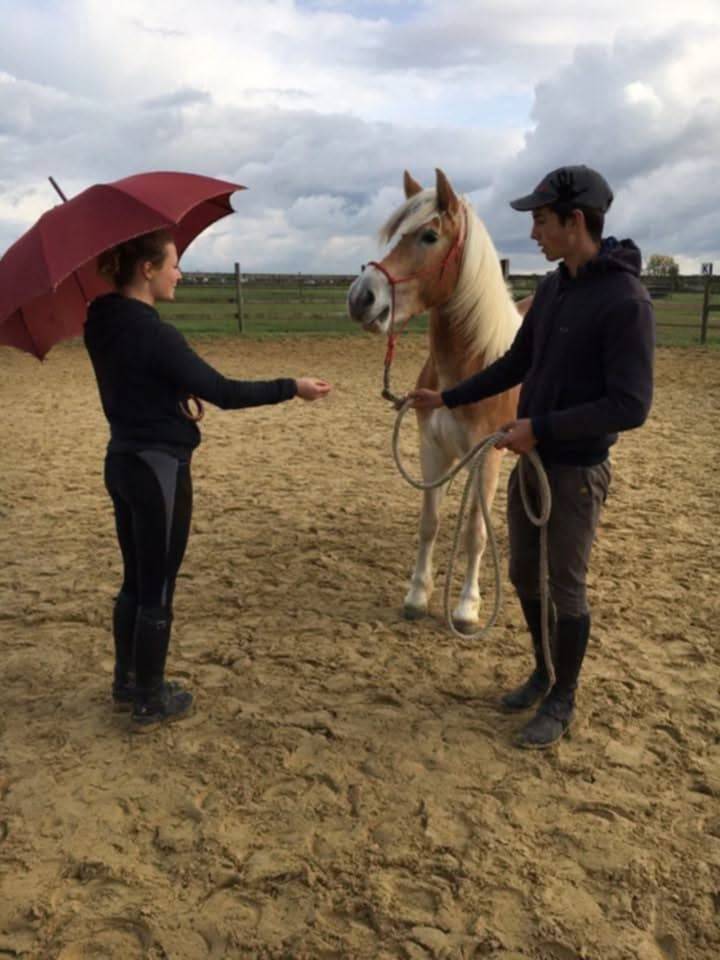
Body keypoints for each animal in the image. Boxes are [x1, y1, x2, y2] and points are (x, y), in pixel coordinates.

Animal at [347, 168, 532, 631]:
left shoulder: (486, 456)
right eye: (398, 235)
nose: (361, 298)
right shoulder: (432, 448)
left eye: (429, 236)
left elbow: (475, 532)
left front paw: (467, 606)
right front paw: (417, 595)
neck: (468, 369)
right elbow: (429, 521)